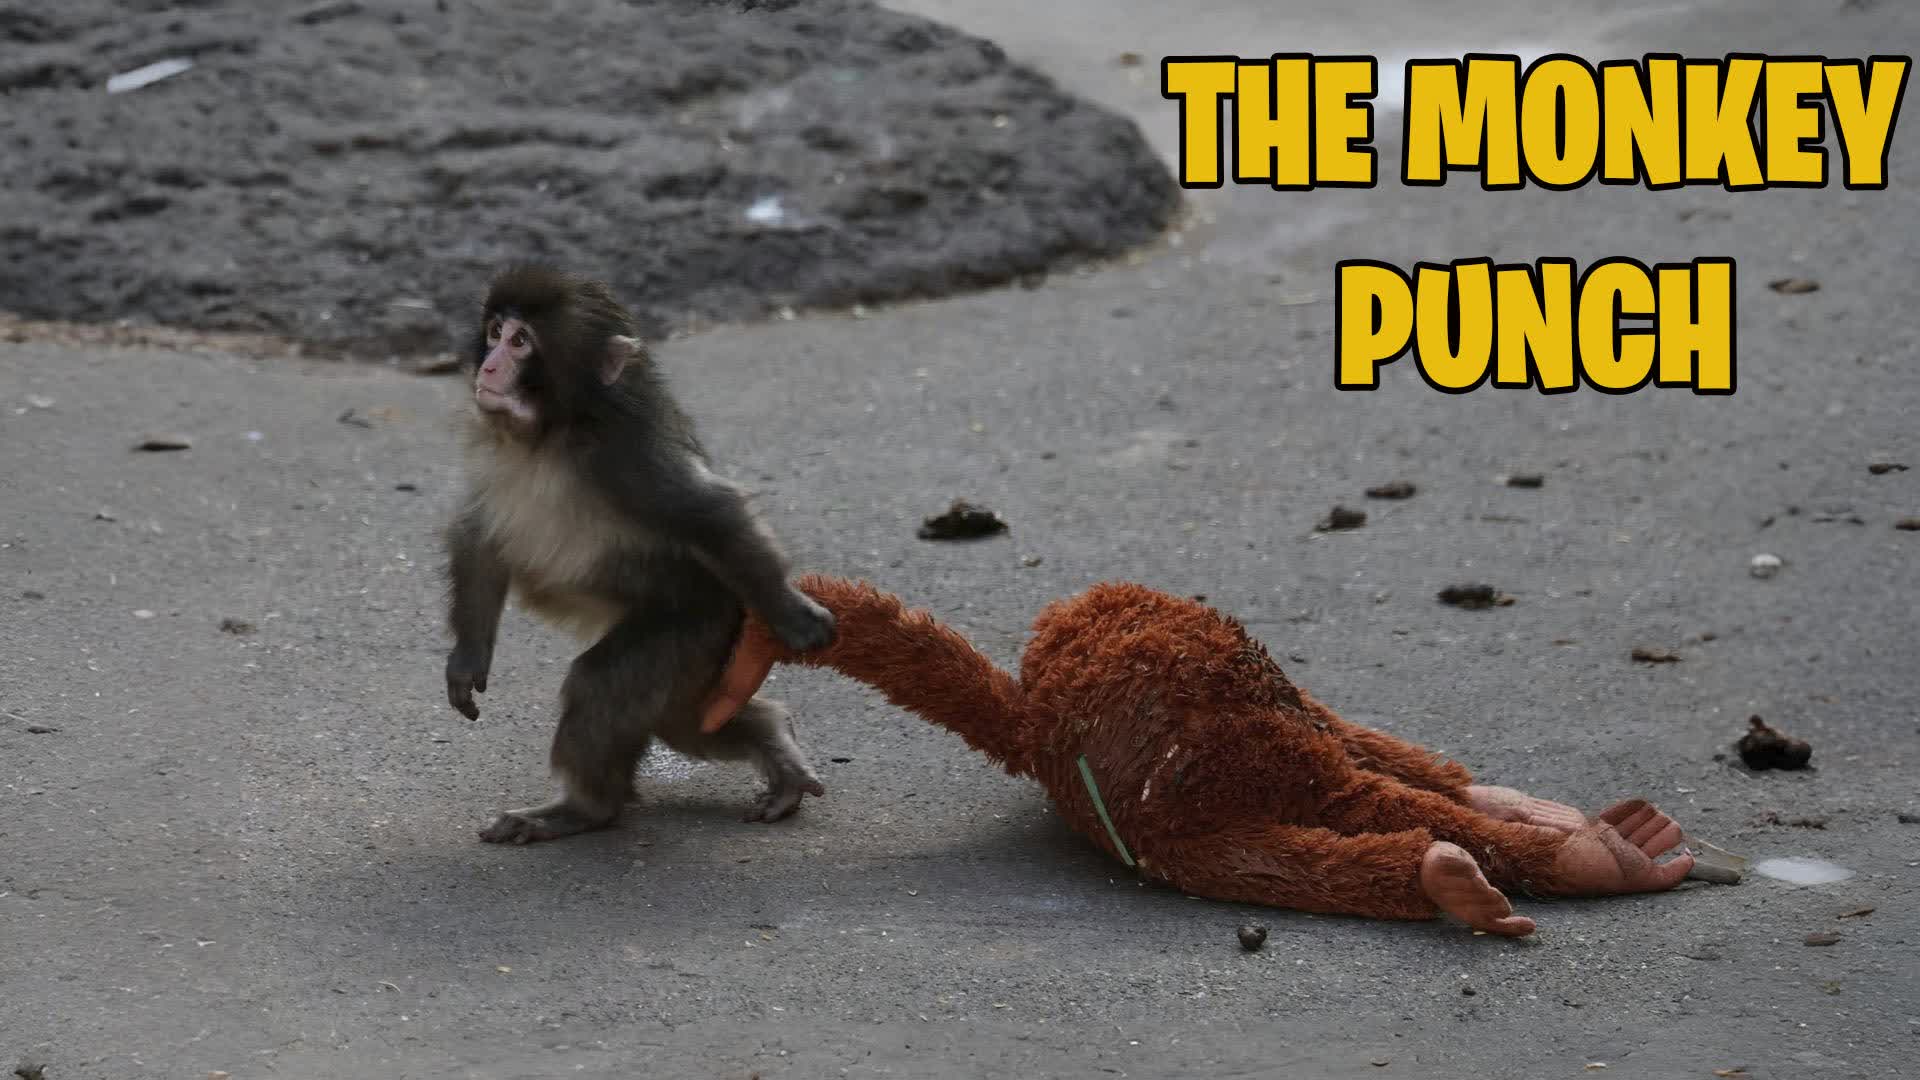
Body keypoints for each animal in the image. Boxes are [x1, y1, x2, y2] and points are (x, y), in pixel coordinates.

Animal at [443, 265, 836, 844]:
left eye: (520, 342)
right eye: (494, 332)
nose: (489, 366)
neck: (553, 432)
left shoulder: (629, 458)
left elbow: (710, 512)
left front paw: (792, 612)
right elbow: (480, 534)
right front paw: (468, 657)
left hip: (697, 624)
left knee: (604, 686)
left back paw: (585, 809)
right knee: (688, 721)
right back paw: (775, 740)